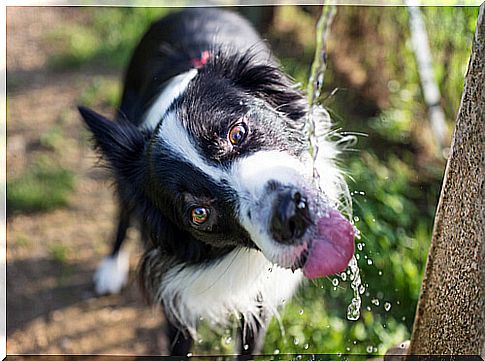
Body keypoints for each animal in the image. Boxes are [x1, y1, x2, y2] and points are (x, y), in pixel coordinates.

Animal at [77, 7, 354, 354]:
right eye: (199, 214)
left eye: (237, 133)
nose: (290, 215)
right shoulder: (177, 302)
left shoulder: (259, 302)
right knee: (123, 212)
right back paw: (111, 268)